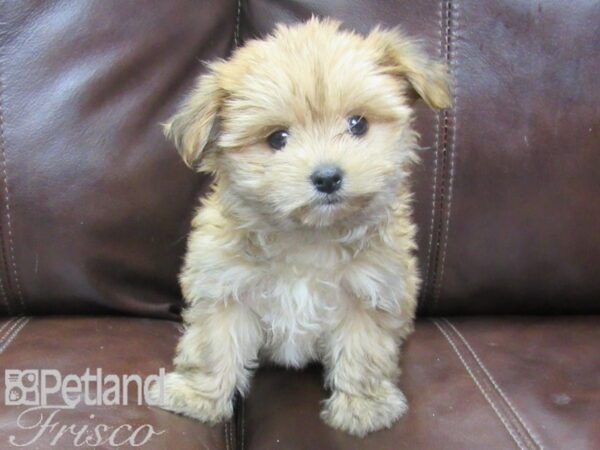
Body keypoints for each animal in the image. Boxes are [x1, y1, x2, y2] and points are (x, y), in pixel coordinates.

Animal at [155, 17, 450, 436]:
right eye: (277, 138)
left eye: (358, 124)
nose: (327, 177)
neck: (308, 237)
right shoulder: (226, 286)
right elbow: (214, 343)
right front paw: (197, 396)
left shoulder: (370, 291)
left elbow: (364, 350)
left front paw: (363, 407)